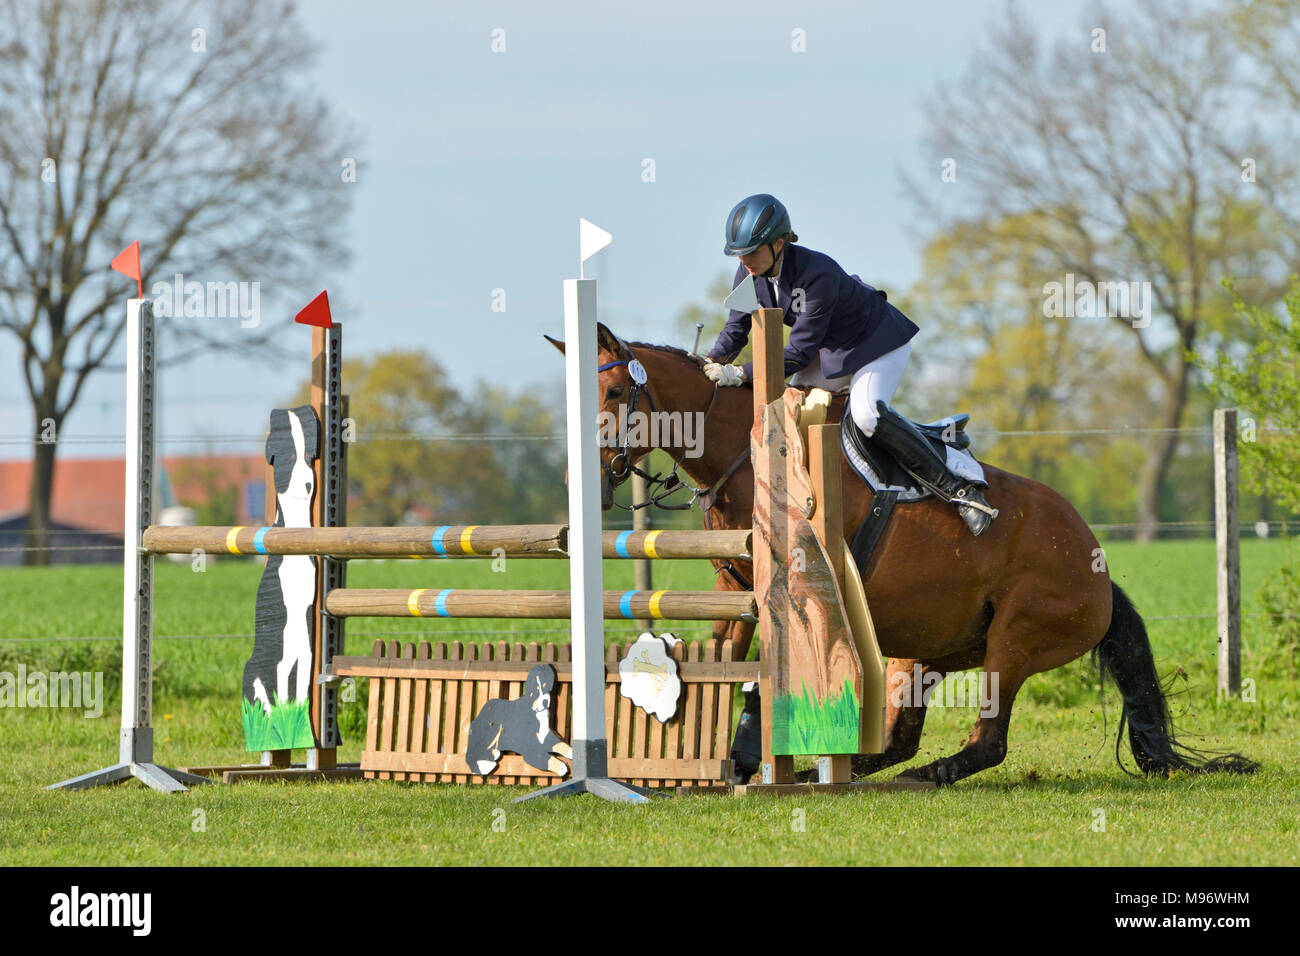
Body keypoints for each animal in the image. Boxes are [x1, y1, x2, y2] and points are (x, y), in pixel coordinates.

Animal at [543, 325, 1253, 790]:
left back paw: (922, 774)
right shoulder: (731, 584)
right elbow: (718, 658)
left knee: (987, 740)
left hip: (1017, 638)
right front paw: (703, 753)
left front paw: (746, 758)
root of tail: (1098, 565)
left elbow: (759, 677)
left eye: (615, 395)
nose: (583, 482)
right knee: (901, 737)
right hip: (928, 647)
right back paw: (837, 771)